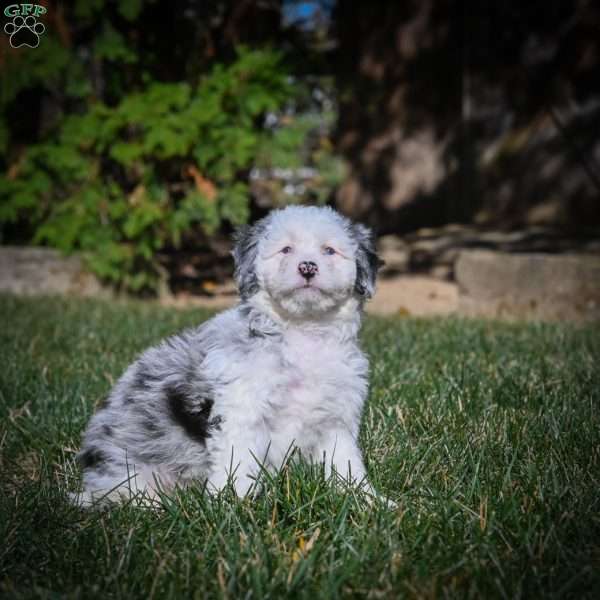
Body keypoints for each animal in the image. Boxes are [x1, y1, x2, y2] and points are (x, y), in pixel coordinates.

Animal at [75, 206, 384, 506]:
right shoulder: (241, 410)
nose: (307, 266)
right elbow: (237, 461)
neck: (302, 332)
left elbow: (345, 464)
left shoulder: (335, 419)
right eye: (286, 249)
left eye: (329, 250)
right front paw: (234, 503)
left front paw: (368, 500)